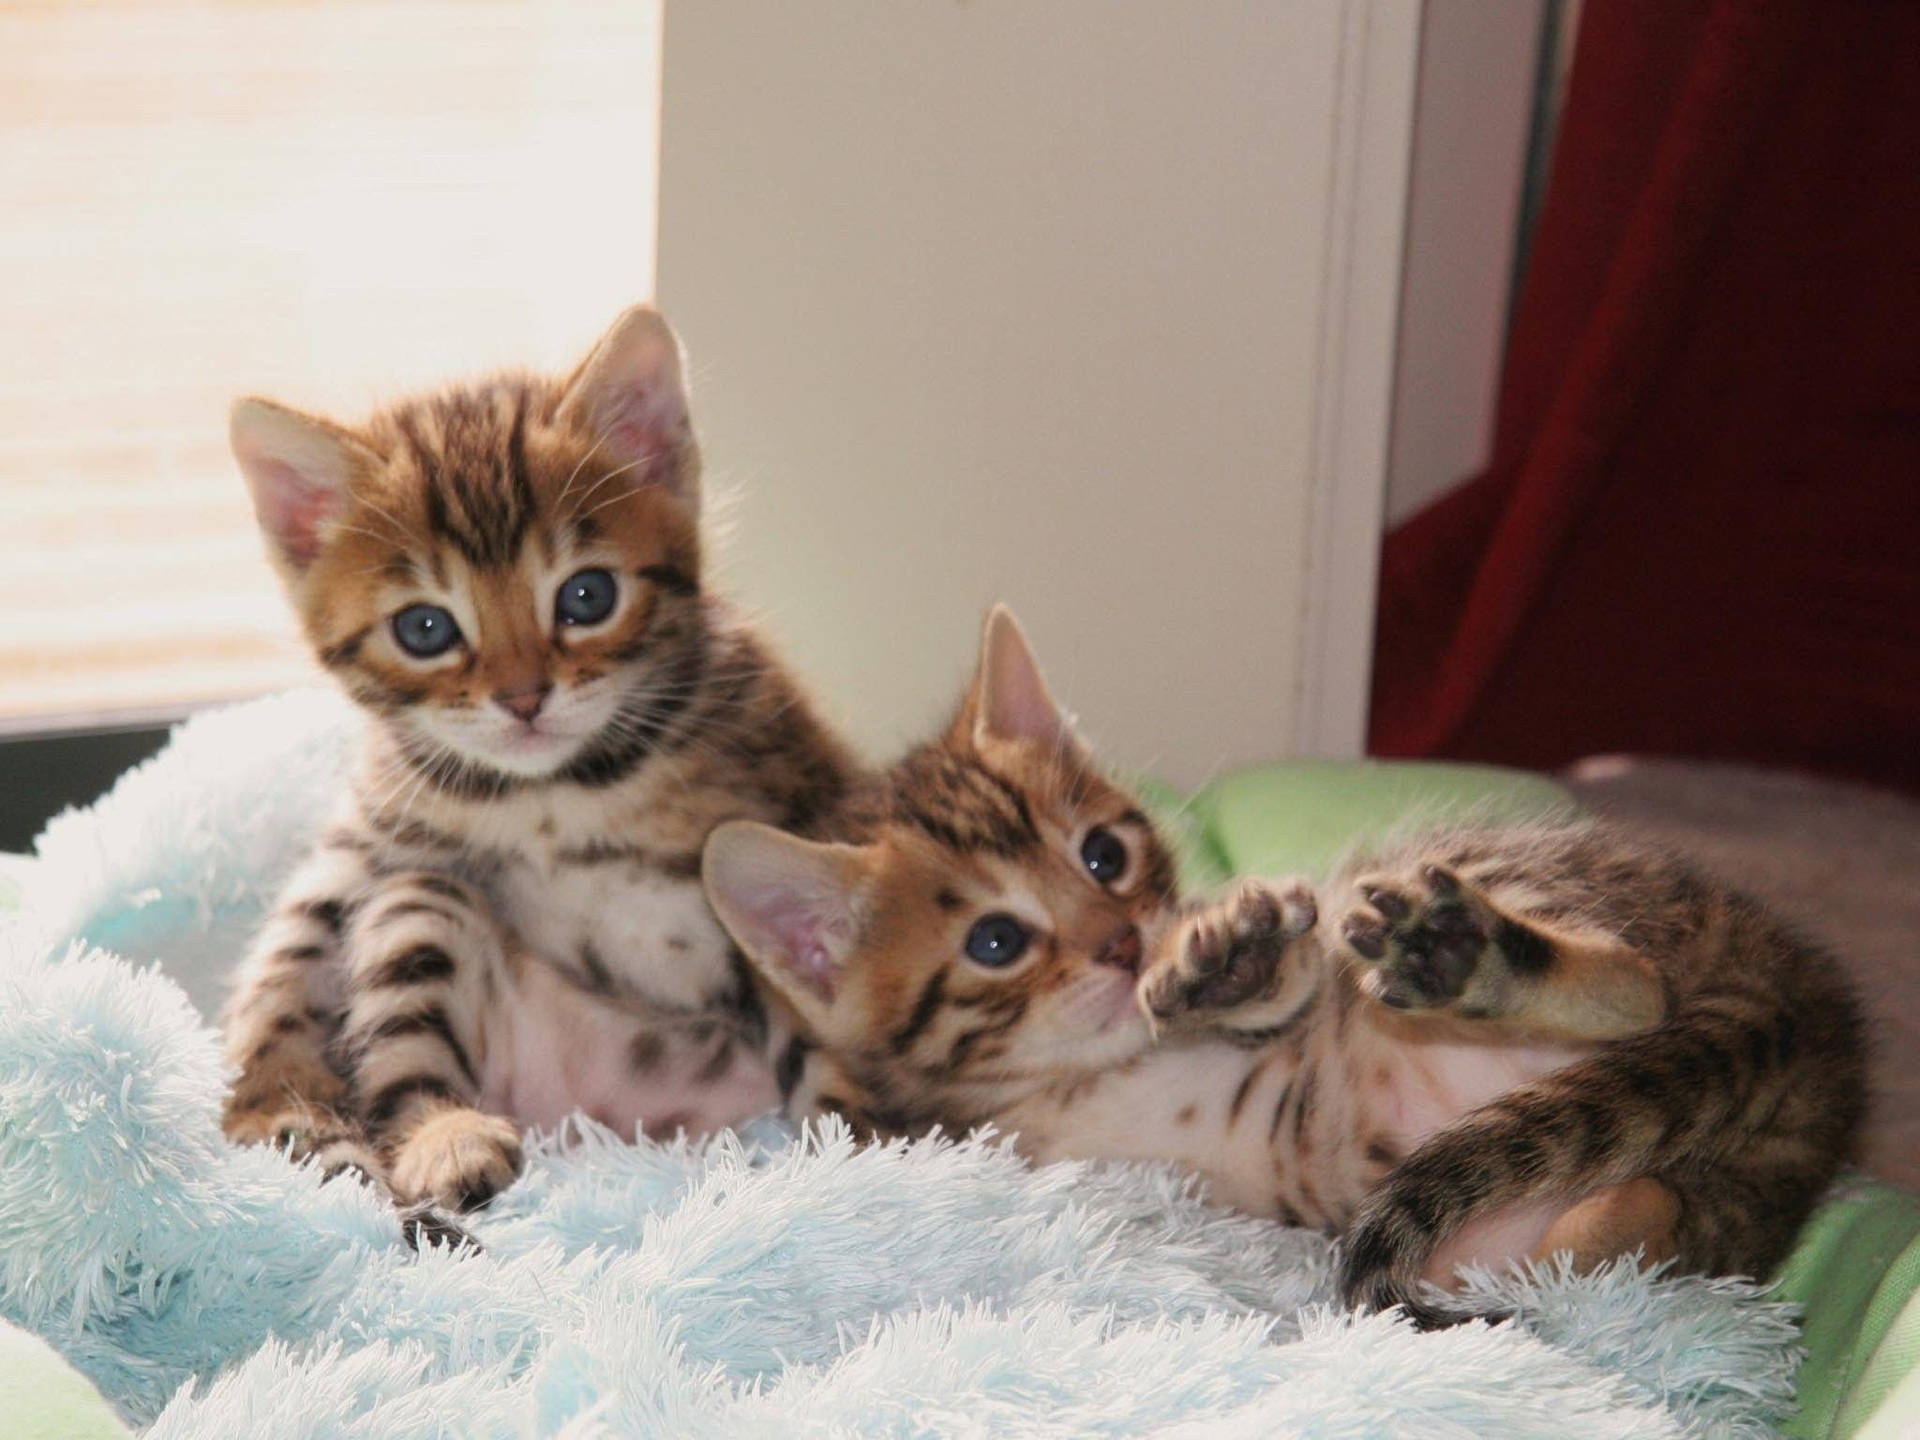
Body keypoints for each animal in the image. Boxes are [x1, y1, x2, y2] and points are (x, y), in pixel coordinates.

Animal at [220, 307, 860, 1221]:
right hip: (423, 908)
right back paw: (446, 1139)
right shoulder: (378, 830)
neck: (552, 795)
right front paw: (270, 1095)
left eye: (586, 597)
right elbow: (285, 955)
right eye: (425, 629)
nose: (523, 698)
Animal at [706, 610, 1858, 1328]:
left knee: (1637, 986)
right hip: (1672, 1207)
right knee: (1621, 1216)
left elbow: (1291, 977)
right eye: (996, 942)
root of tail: (1801, 1008)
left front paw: (1233, 958)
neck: (1068, 1078)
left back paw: (1471, 959)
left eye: (1103, 856)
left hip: (1470, 890)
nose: (1124, 945)